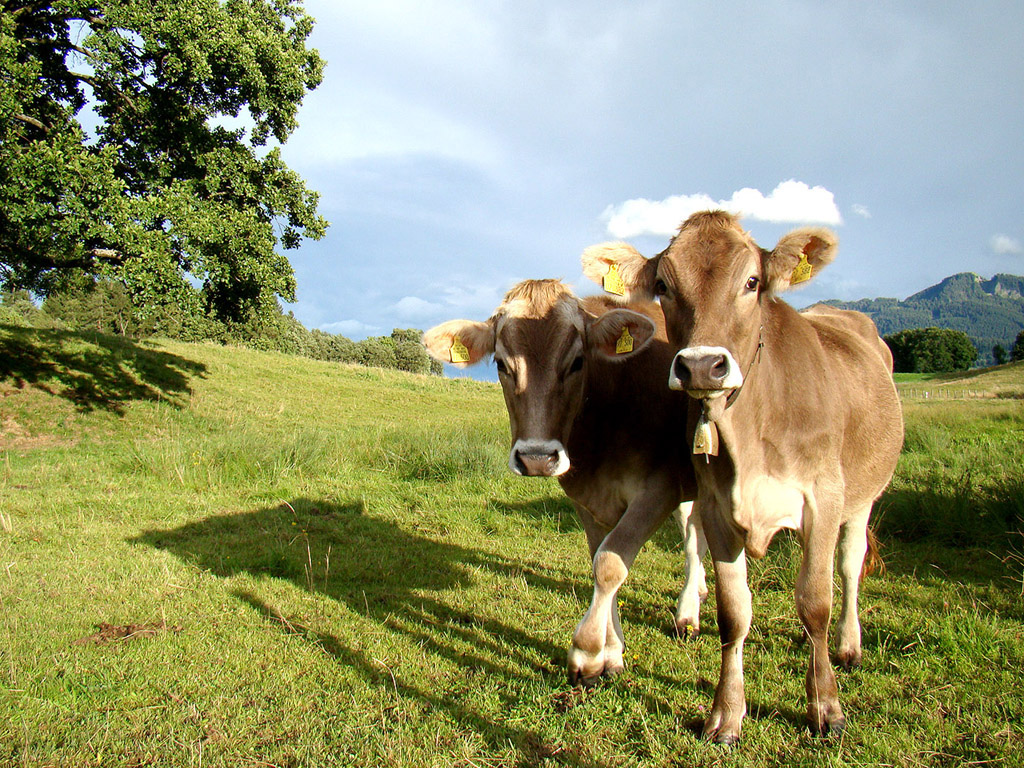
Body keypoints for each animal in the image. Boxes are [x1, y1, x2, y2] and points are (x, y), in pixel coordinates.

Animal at [423, 280, 704, 684]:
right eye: (501, 364)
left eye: (577, 361)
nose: (537, 458)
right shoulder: (585, 496)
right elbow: (599, 558)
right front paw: (610, 652)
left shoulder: (661, 487)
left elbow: (610, 564)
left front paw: (586, 654)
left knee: (696, 535)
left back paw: (688, 614)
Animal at [585, 211, 905, 745]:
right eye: (663, 285)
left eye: (752, 282)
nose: (700, 366)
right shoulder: (717, 507)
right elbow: (734, 614)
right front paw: (726, 714)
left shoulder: (822, 499)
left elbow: (815, 602)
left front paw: (826, 708)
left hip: (862, 497)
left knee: (848, 565)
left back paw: (848, 645)